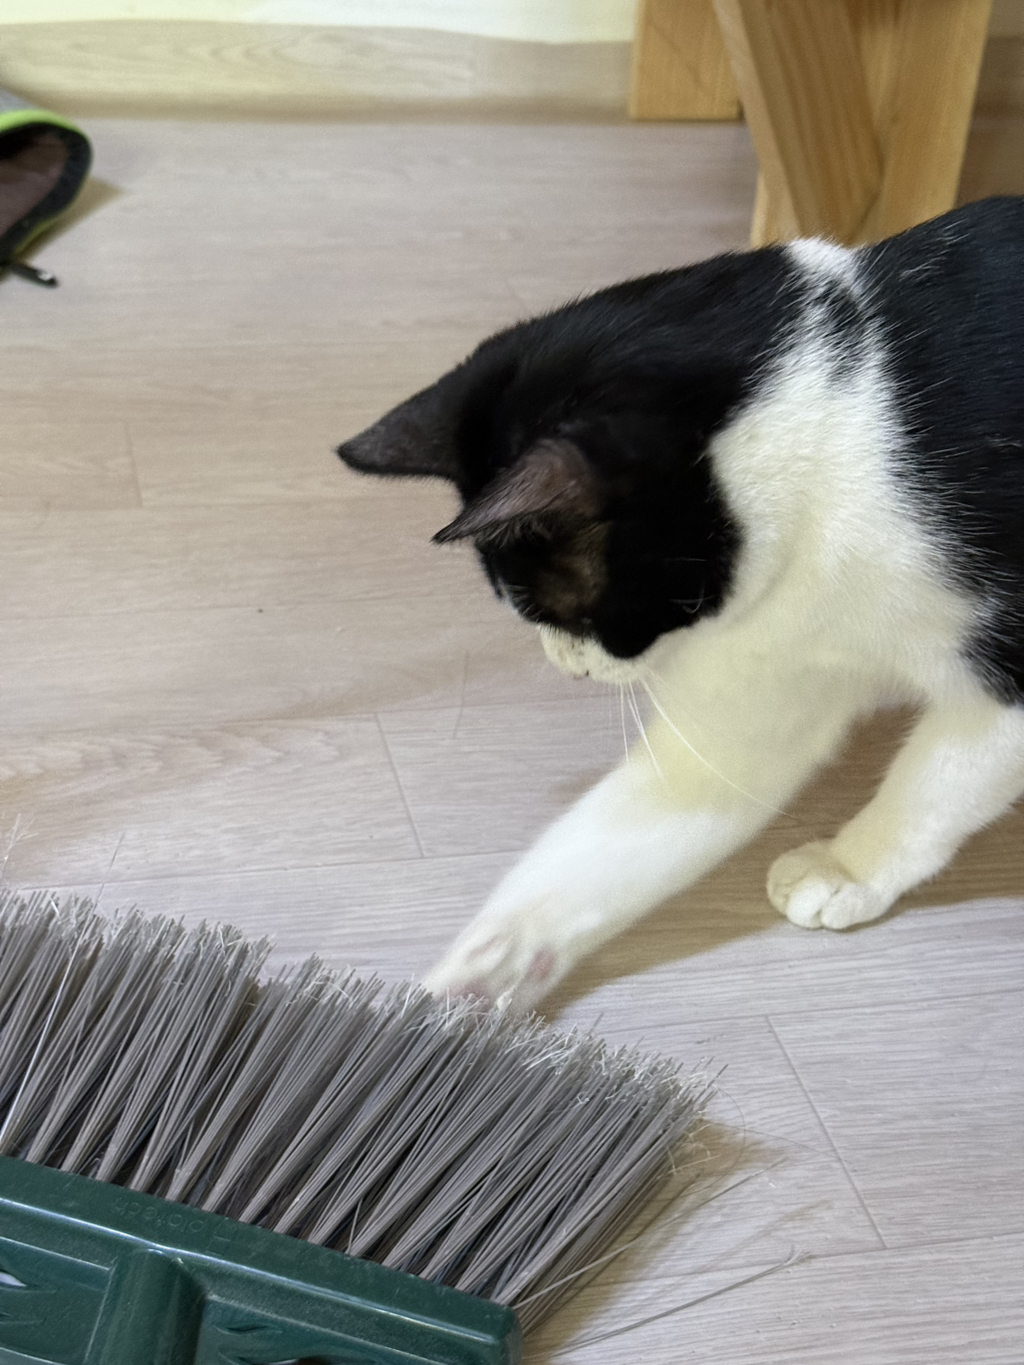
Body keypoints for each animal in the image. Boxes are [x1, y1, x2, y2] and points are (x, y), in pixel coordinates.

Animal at [338, 196, 1024, 1012]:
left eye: (566, 612)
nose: (568, 667)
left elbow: (934, 787)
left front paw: (848, 868)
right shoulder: (773, 653)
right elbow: (655, 816)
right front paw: (473, 981)